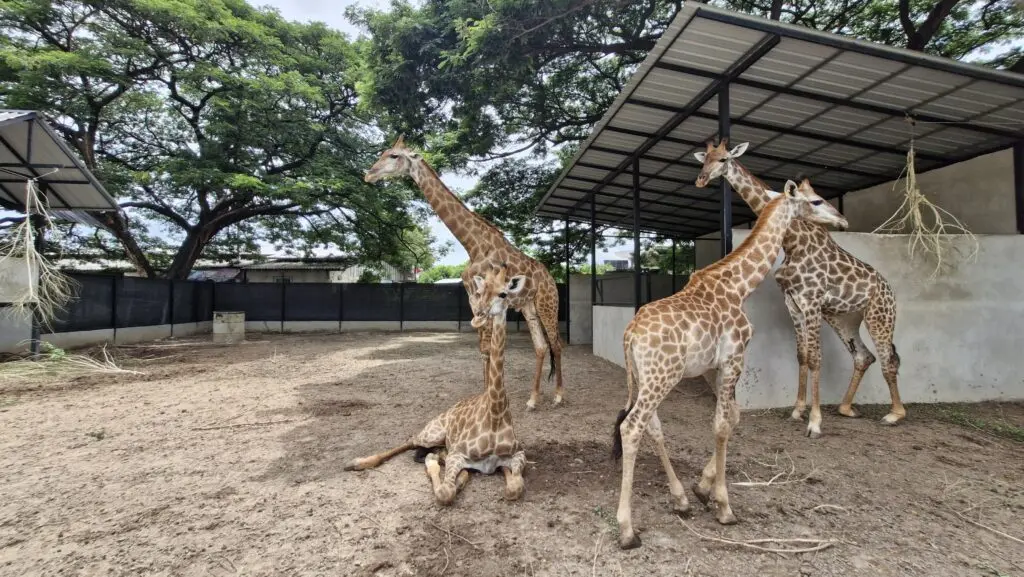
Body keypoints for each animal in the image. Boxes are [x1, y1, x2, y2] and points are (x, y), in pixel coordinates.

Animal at [348, 257, 532, 506]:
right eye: (481, 290)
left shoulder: (518, 453)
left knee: (434, 455)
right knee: (412, 441)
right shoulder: (457, 454)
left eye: (503, 293)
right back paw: (358, 462)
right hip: (433, 432)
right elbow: (445, 492)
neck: (496, 414)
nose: (479, 315)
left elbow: (514, 487)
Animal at [364, 135, 565, 407]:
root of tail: (551, 278)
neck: (473, 245)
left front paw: (492, 396)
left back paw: (558, 396)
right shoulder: (473, 299)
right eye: (384, 152)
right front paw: (485, 394)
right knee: (541, 346)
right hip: (528, 306)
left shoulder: (487, 298)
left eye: (394, 156)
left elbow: (489, 348)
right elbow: (483, 349)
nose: (369, 174)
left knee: (557, 344)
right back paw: (533, 399)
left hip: (547, 303)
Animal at [606, 180, 847, 549]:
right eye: (816, 201)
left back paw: (680, 500)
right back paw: (627, 530)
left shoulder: (715, 366)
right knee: (632, 427)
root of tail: (630, 334)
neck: (739, 285)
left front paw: (702, 489)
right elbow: (722, 423)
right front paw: (723, 506)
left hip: (647, 377)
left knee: (652, 426)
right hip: (663, 376)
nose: (842, 219)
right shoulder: (734, 357)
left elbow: (732, 416)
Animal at [696, 140, 905, 438]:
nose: (701, 179)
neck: (793, 241)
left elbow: (816, 357)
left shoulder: (812, 301)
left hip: (879, 316)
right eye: (704, 160)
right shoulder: (793, 302)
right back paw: (846, 408)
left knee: (889, 359)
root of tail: (890, 289)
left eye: (723, 159)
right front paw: (797, 411)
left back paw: (894, 414)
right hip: (843, 318)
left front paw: (815, 422)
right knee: (864, 356)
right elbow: (802, 355)